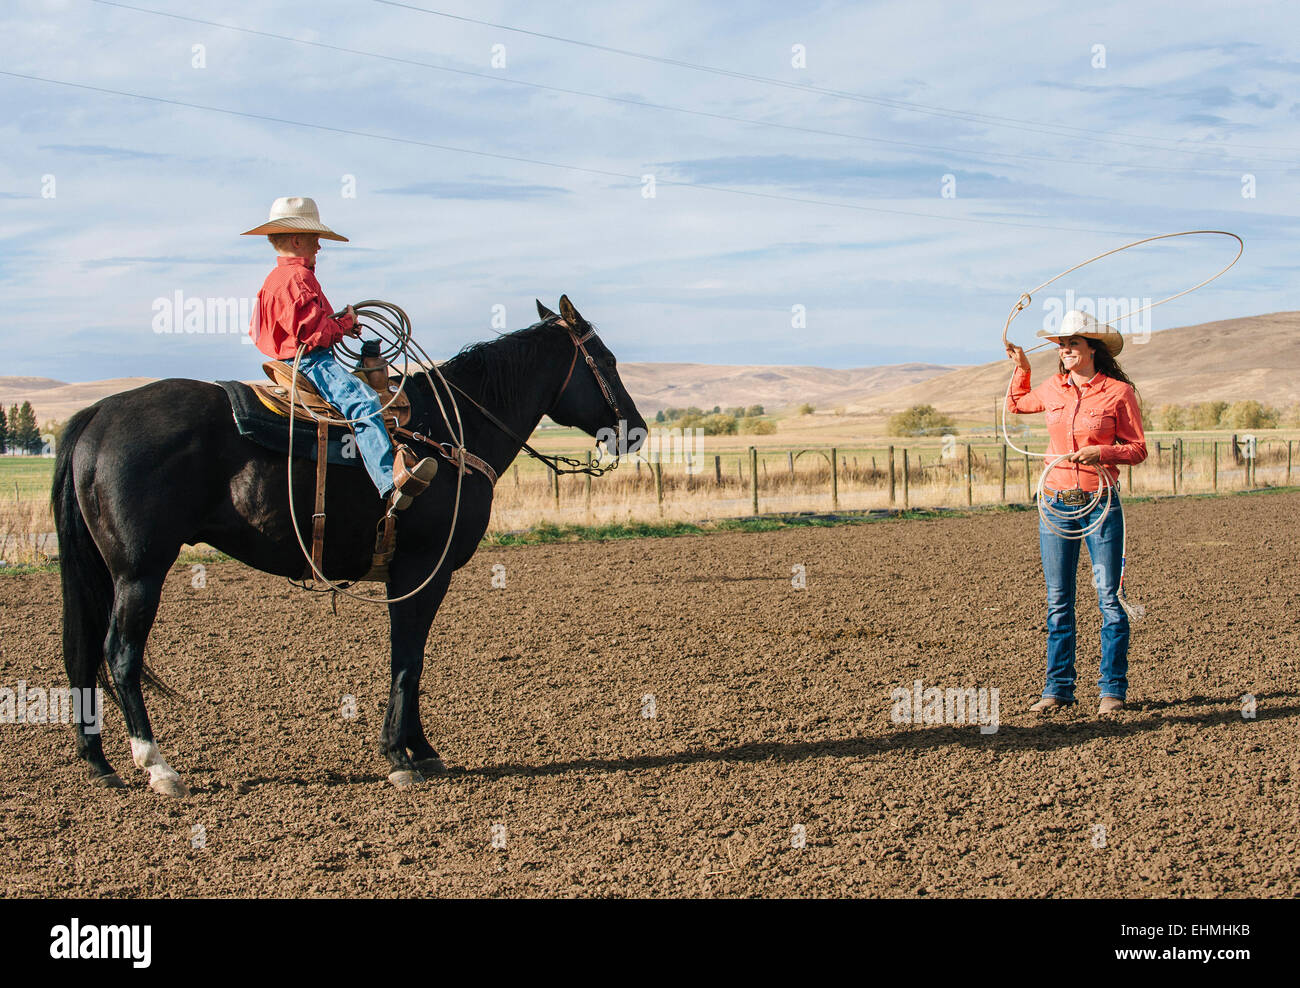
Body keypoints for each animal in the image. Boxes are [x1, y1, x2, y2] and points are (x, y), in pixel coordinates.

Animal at [54, 293, 644, 795]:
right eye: (607, 359)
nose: (635, 430)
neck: (452, 432)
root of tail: (99, 414)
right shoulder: (422, 569)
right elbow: (408, 658)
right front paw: (400, 756)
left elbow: (410, 658)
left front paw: (421, 750)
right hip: (140, 572)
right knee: (120, 654)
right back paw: (158, 766)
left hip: (110, 573)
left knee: (84, 655)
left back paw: (99, 763)